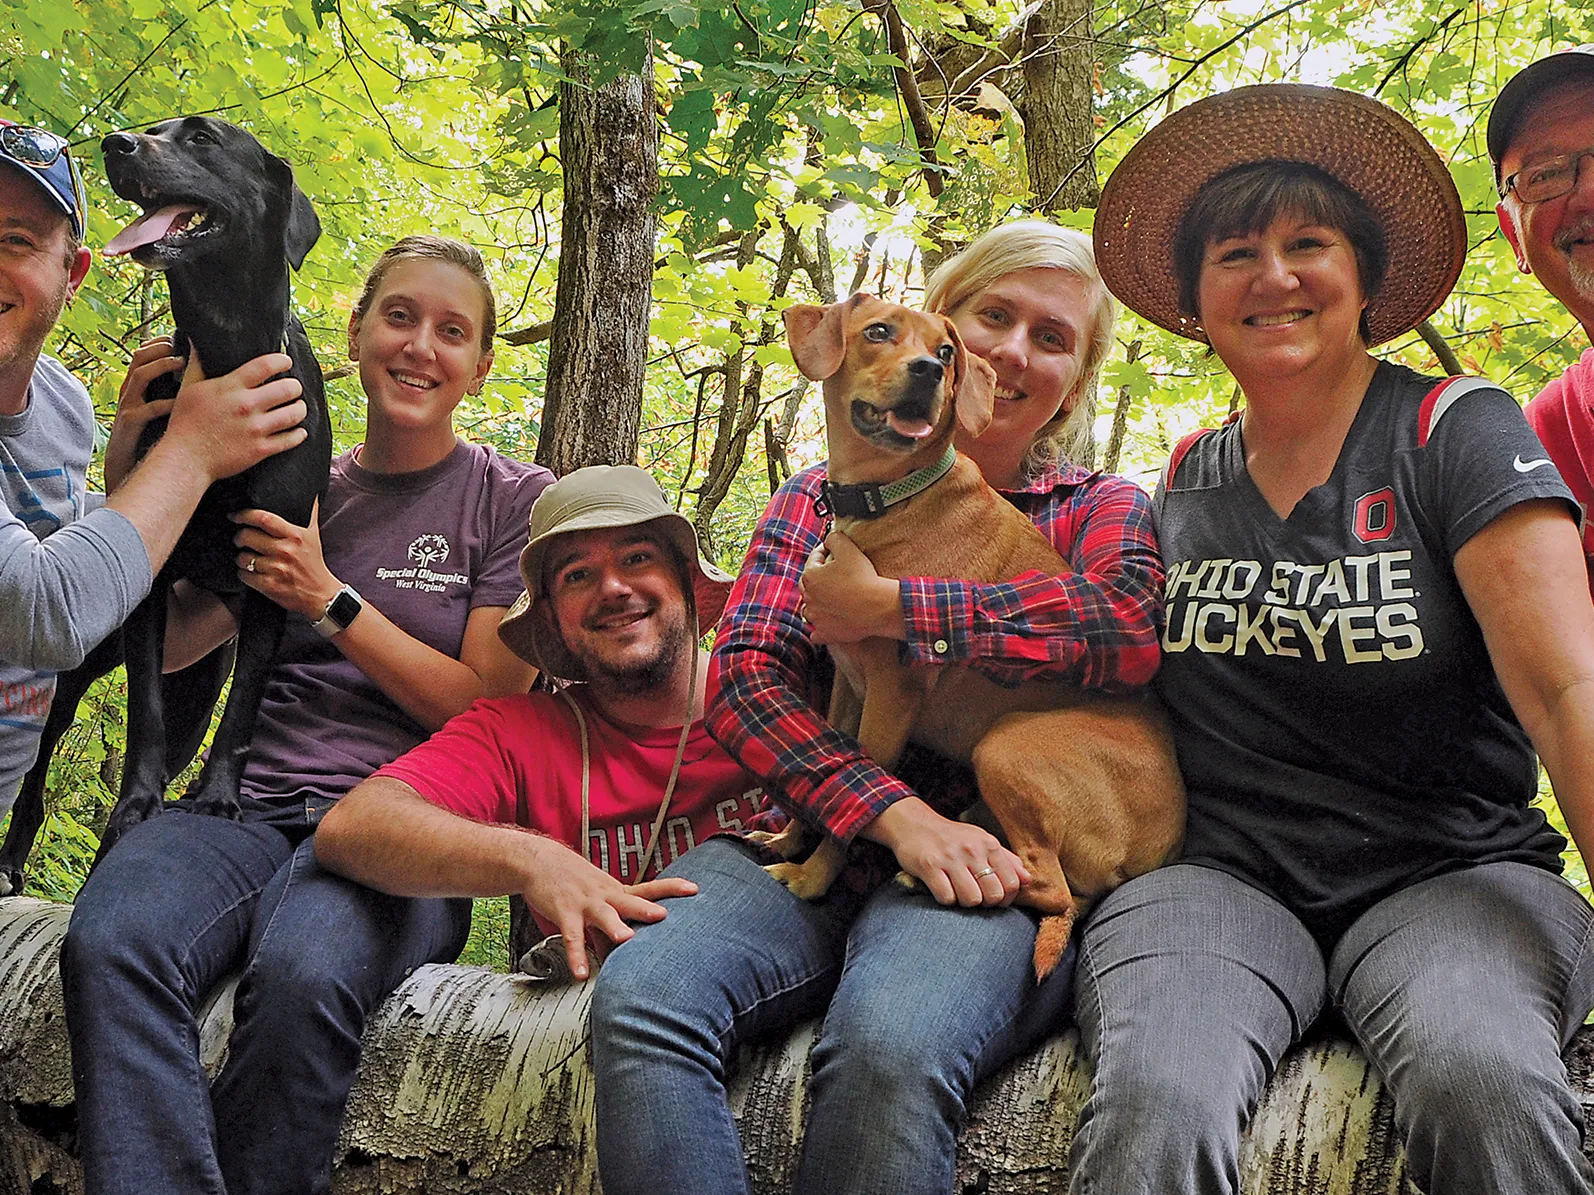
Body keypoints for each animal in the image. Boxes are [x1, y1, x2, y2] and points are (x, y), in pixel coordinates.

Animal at [765, 293, 1192, 981]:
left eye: (945, 351)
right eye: (878, 332)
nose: (929, 371)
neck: (893, 495)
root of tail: (1157, 855)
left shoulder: (891, 695)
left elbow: (859, 806)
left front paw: (810, 879)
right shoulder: (848, 689)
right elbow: (828, 782)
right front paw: (787, 840)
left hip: (1006, 746)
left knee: (1050, 887)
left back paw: (932, 873)